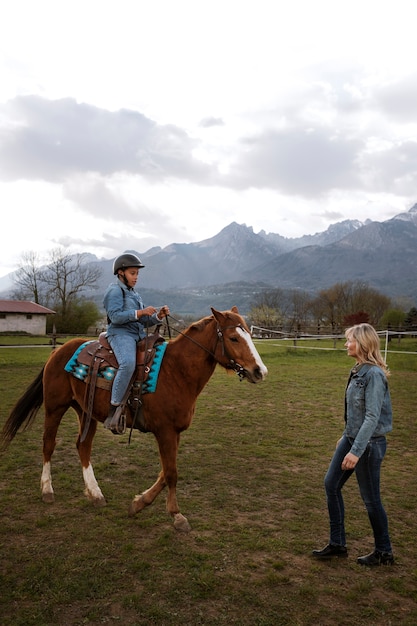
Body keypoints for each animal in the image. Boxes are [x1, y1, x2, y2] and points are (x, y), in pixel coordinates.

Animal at [0, 304, 266, 528]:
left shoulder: (175, 432)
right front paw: (176, 515)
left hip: (85, 411)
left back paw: (95, 493)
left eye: (249, 335)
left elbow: (166, 471)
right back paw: (47, 490)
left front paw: (139, 503)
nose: (259, 371)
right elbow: (171, 472)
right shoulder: (165, 431)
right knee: (48, 444)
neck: (176, 371)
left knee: (83, 446)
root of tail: (59, 351)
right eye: (233, 338)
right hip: (55, 407)